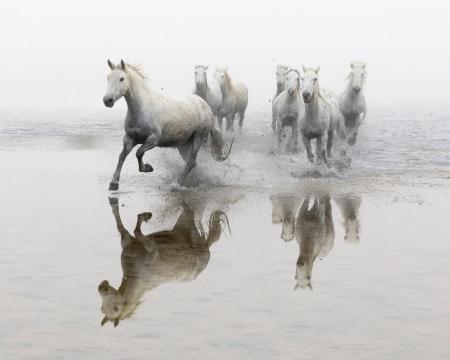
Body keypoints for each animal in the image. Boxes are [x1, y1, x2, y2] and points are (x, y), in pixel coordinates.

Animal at [103, 59, 232, 191]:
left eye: (121, 78)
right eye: (108, 78)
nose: (107, 100)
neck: (142, 108)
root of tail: (206, 106)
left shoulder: (152, 140)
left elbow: (139, 153)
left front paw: (148, 168)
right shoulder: (129, 139)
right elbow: (122, 156)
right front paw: (114, 183)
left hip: (198, 138)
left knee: (191, 162)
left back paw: (177, 183)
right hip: (184, 144)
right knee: (191, 162)